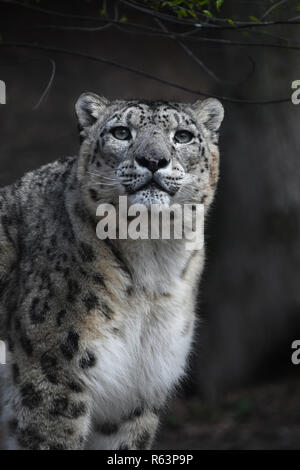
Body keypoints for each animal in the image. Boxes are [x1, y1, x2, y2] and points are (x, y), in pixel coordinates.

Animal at [0, 93, 224, 450]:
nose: (153, 160)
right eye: (121, 132)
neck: (153, 266)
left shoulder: (137, 390)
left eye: (183, 136)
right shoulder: (54, 375)